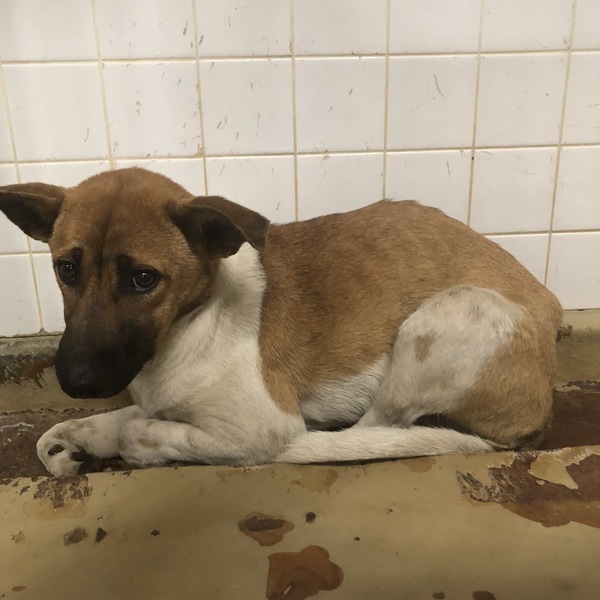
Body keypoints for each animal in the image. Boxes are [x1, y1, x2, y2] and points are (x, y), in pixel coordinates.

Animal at [0, 168, 562, 476]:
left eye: (143, 278)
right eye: (66, 269)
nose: (76, 382)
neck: (192, 325)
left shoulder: (256, 426)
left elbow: (139, 432)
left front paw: (124, 441)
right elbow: (79, 428)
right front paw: (73, 445)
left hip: (449, 315)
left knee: (369, 432)